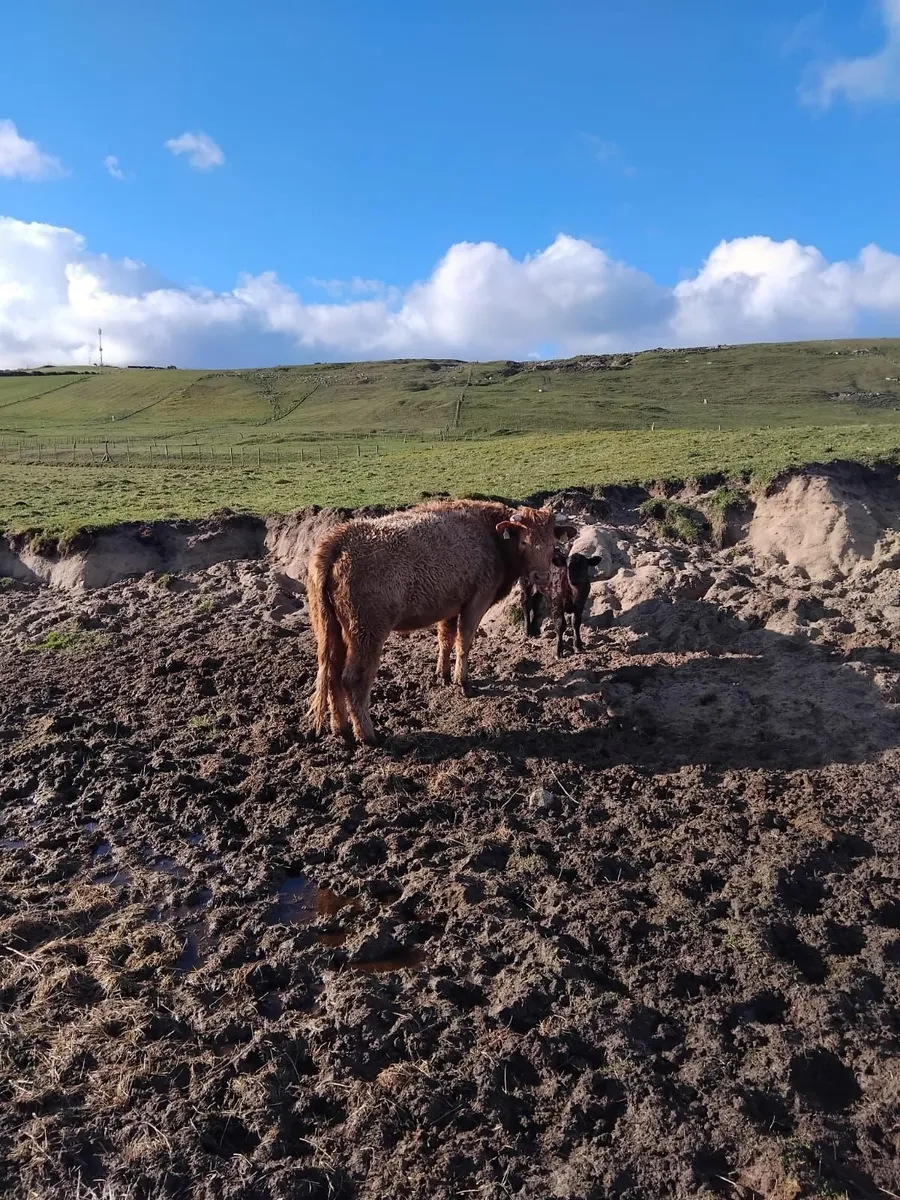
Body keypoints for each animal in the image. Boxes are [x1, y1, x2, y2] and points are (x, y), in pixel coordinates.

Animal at [307, 499, 576, 745]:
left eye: (552, 544)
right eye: (524, 542)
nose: (541, 576)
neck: (490, 536)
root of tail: (340, 539)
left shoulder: (450, 607)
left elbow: (445, 639)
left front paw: (443, 675)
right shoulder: (476, 602)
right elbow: (464, 641)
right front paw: (462, 681)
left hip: (334, 631)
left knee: (331, 675)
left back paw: (341, 729)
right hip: (367, 633)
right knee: (354, 680)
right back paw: (368, 735)